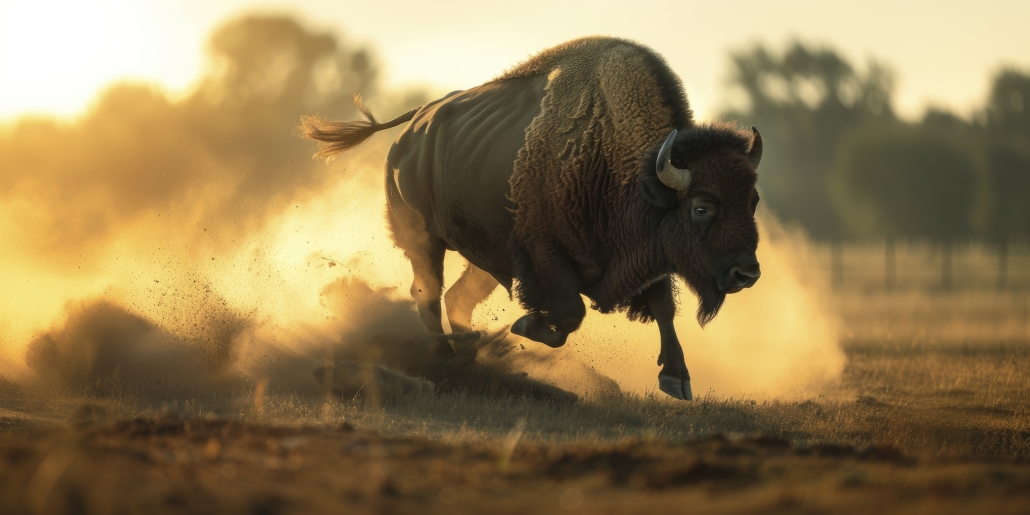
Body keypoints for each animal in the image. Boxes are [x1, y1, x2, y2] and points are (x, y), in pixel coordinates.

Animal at [301, 37, 762, 400]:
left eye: (753, 200)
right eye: (702, 207)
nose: (747, 273)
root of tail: (412, 127)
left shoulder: (650, 259)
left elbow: (663, 307)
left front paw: (677, 379)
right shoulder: (545, 255)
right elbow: (569, 313)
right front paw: (528, 325)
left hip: (483, 257)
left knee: (456, 297)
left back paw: (468, 352)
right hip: (424, 239)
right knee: (427, 292)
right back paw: (447, 359)